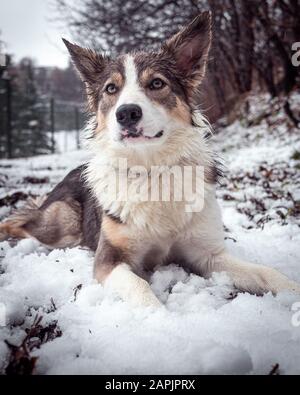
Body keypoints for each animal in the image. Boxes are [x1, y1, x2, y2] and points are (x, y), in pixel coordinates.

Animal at [0, 12, 300, 308]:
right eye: (111, 89)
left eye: (156, 83)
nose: (127, 113)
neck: (151, 168)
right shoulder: (108, 259)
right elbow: (140, 288)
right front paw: (159, 317)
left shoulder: (209, 255)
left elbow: (266, 273)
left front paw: (291, 289)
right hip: (61, 223)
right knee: (18, 222)